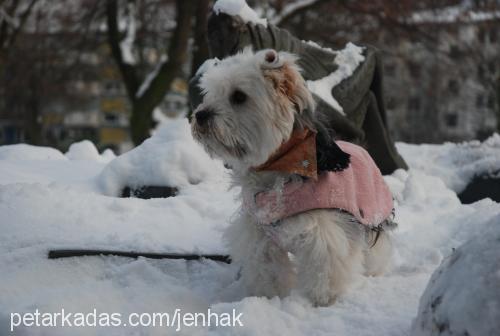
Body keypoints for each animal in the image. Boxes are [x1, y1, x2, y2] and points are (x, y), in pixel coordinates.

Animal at [191, 48, 394, 306]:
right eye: (211, 94)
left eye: (238, 96)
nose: (200, 115)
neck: (280, 164)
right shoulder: (260, 234)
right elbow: (268, 269)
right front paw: (267, 297)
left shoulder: (323, 232)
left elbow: (325, 266)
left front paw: (321, 300)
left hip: (372, 217)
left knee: (376, 249)